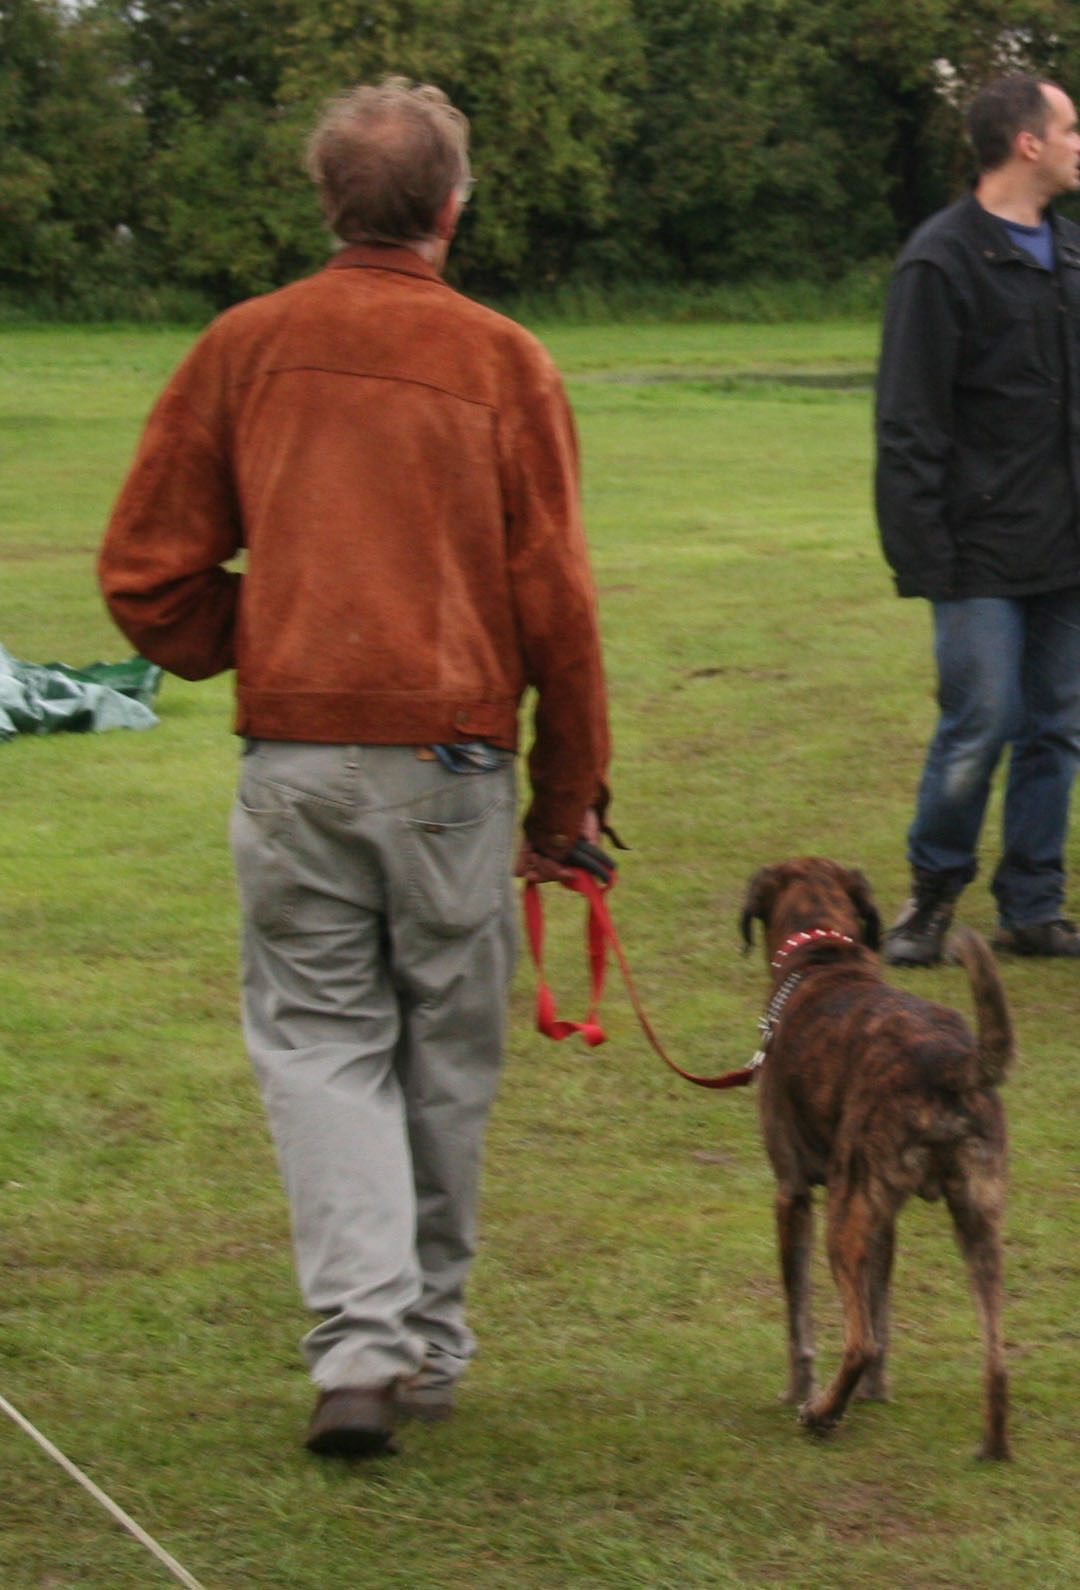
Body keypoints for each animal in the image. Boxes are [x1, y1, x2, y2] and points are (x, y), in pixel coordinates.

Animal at [744, 864, 1011, 1456]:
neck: (822, 956)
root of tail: (951, 1062)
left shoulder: (792, 1196)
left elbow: (801, 1320)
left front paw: (799, 1391)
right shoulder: (884, 1219)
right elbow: (881, 1307)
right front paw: (874, 1394)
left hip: (843, 1224)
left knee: (859, 1341)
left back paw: (820, 1414)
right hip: (977, 1225)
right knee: (997, 1356)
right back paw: (992, 1448)